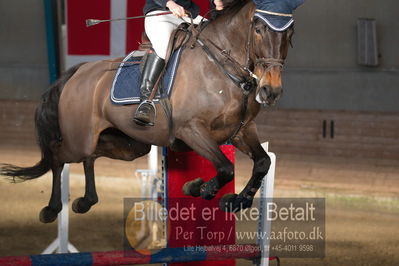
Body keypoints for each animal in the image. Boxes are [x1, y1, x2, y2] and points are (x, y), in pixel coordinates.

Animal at [0, 0, 294, 223]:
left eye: (290, 34)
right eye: (258, 28)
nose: (271, 91)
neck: (221, 66)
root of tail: (79, 71)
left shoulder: (242, 130)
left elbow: (262, 163)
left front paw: (234, 201)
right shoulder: (192, 130)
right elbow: (225, 168)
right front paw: (201, 188)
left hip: (129, 145)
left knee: (91, 155)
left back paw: (86, 201)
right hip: (78, 140)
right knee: (59, 155)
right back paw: (51, 210)